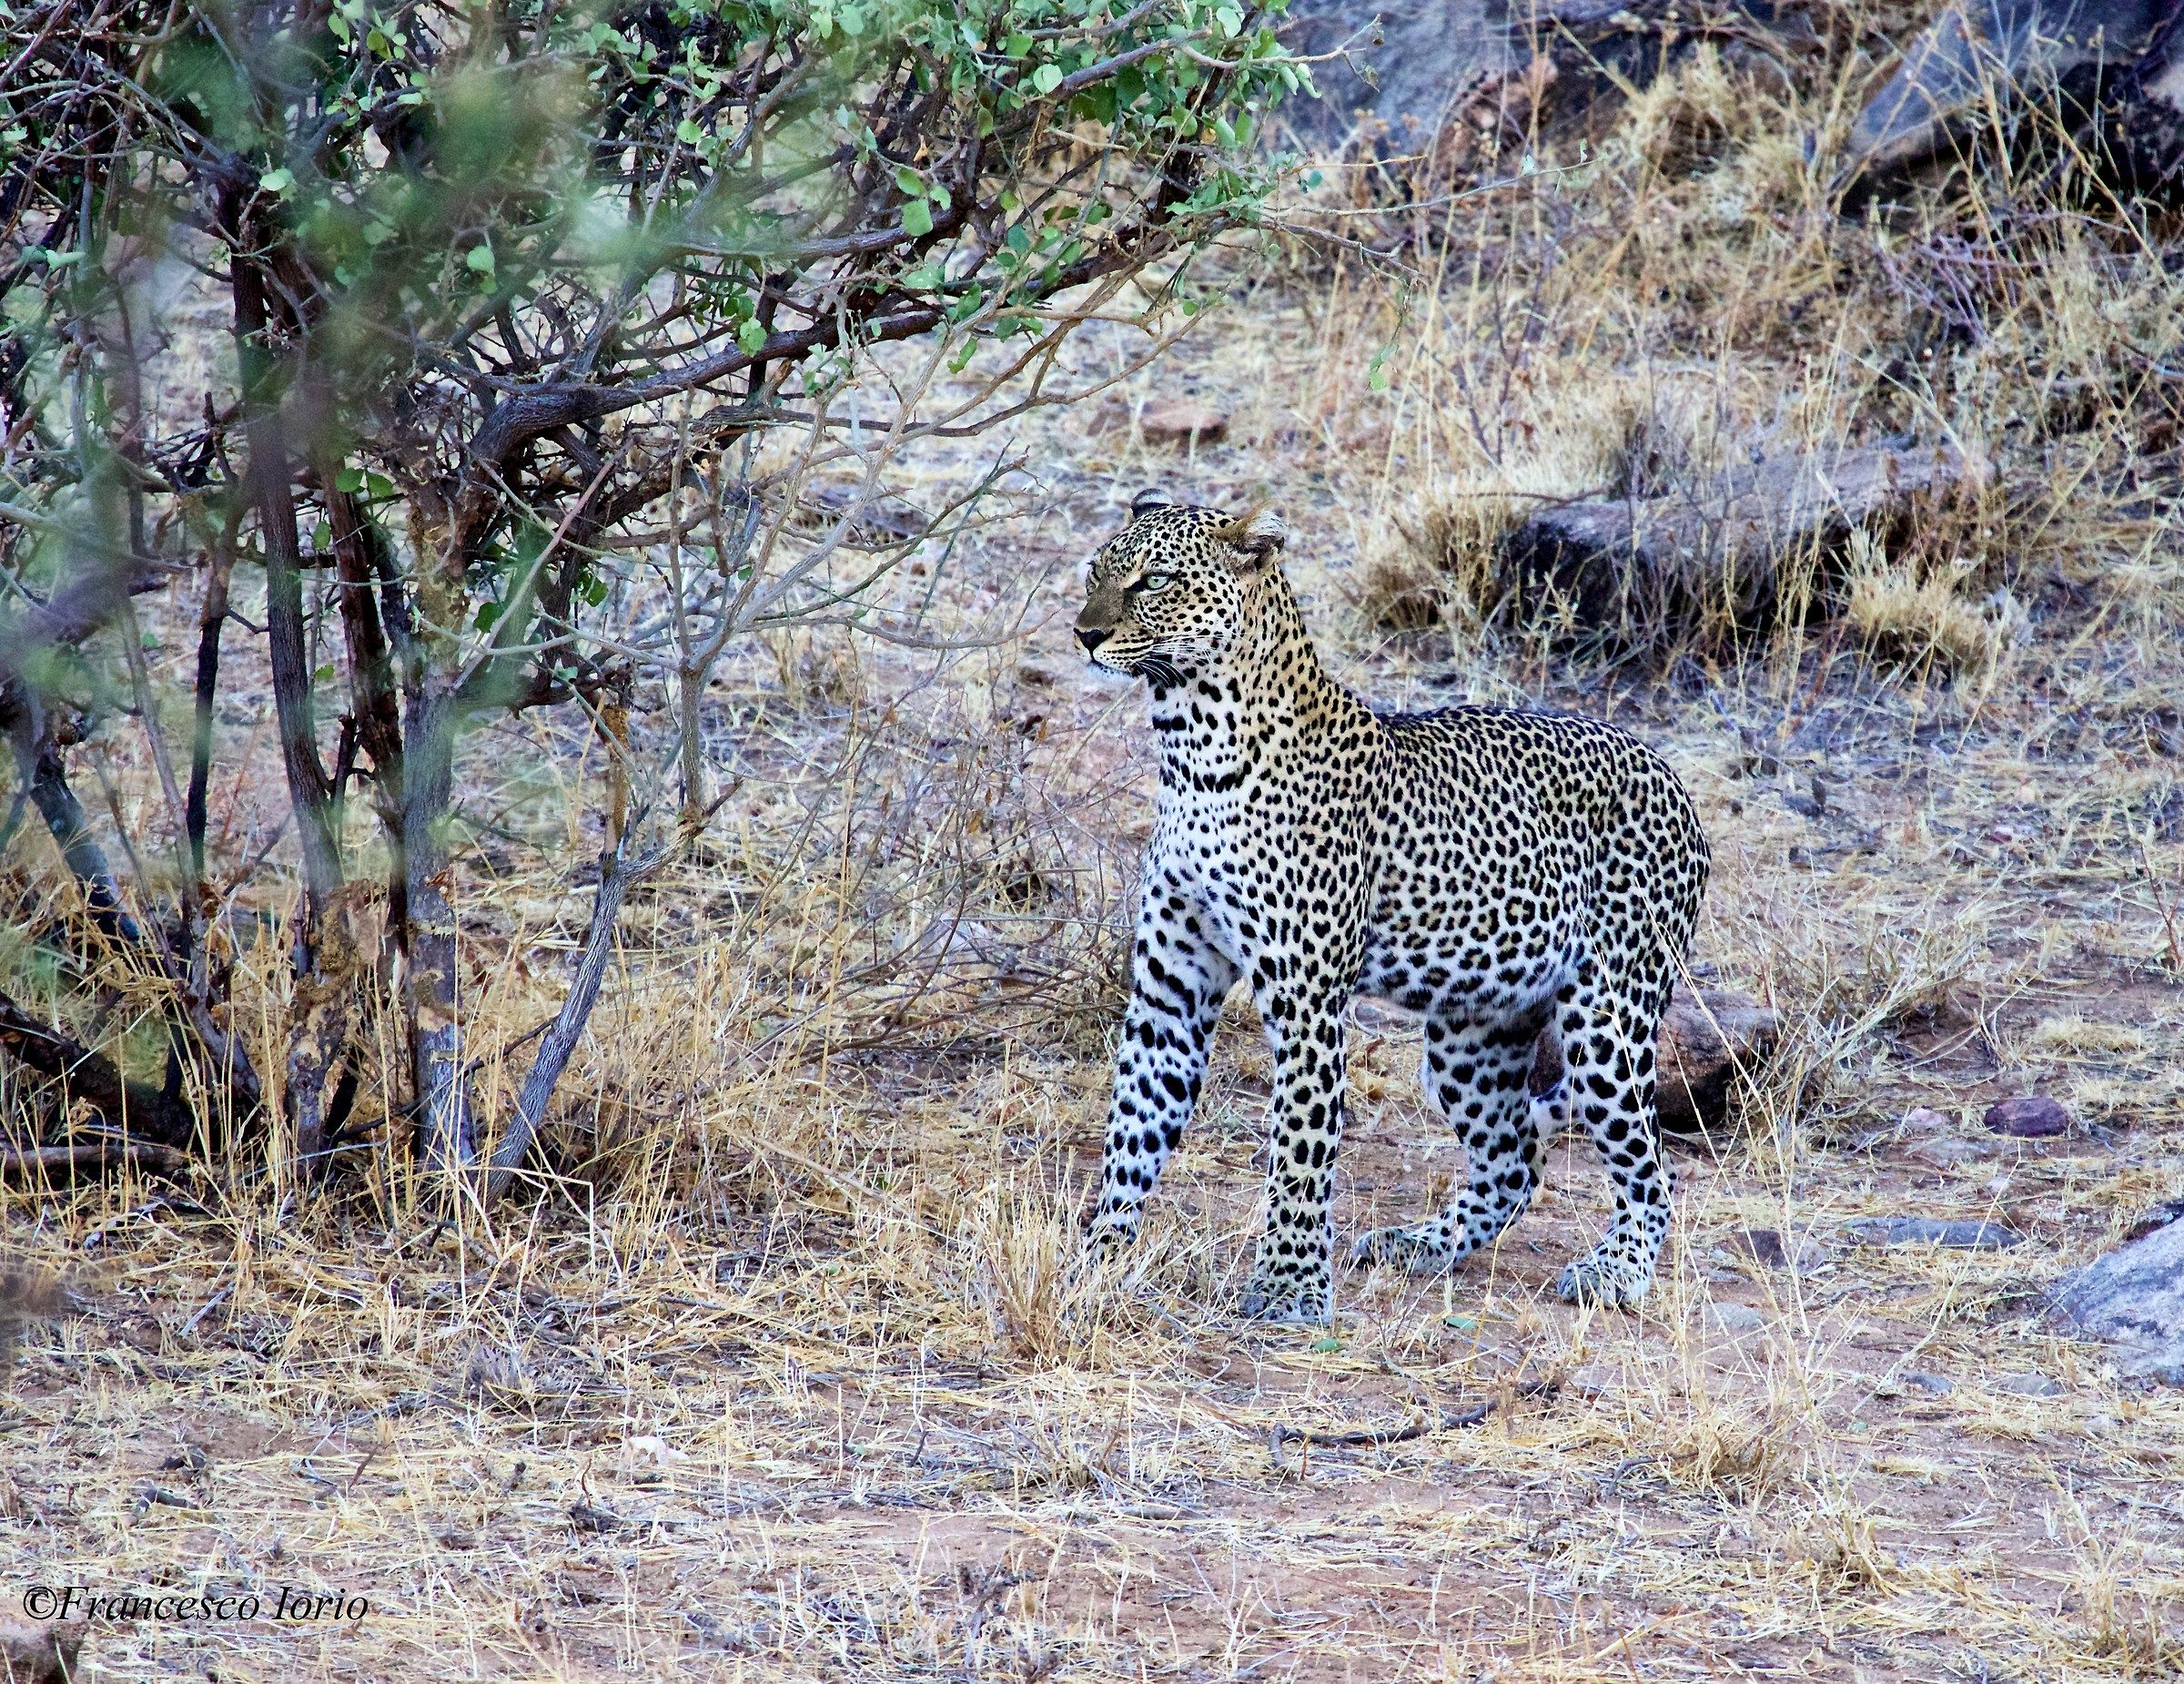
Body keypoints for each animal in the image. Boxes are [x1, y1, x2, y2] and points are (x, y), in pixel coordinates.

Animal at [1074, 492, 1710, 1322]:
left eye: (1154, 581)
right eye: (1094, 572)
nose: (1084, 634)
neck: (1191, 749)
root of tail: (1671, 775)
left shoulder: (1306, 997)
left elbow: (1301, 1146)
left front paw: (1288, 1288)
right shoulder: (1169, 988)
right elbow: (1136, 1123)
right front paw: (1100, 1256)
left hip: (1609, 1021)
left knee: (1650, 1169)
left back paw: (1615, 1272)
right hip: (1472, 1035)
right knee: (1514, 1159)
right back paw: (1422, 1246)